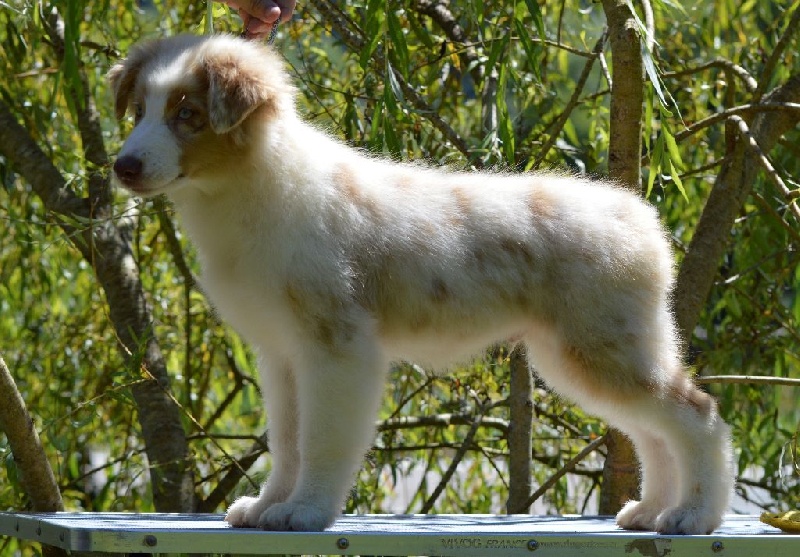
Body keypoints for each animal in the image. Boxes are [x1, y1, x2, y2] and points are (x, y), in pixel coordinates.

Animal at [109, 32, 736, 532]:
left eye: (187, 115)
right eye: (138, 111)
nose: (123, 166)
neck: (252, 189)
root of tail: (639, 219)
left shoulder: (338, 348)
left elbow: (322, 439)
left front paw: (306, 512)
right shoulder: (282, 353)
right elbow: (287, 440)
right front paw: (267, 507)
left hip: (602, 347)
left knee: (695, 415)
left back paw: (692, 516)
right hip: (583, 355)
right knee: (653, 433)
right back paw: (651, 511)